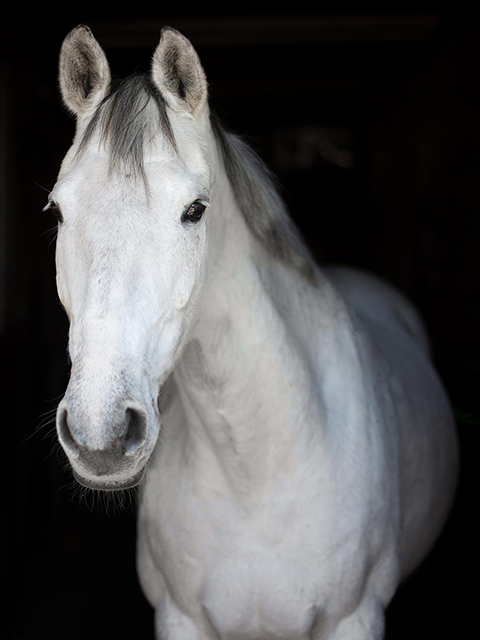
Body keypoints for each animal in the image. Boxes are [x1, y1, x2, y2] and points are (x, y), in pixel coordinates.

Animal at [51, 25, 458, 640]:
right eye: (57, 211)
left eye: (195, 210)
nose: (100, 433)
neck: (254, 471)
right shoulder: (180, 619)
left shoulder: (354, 618)